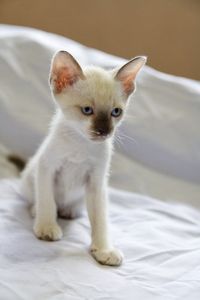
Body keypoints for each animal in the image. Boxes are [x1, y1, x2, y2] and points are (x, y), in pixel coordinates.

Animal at [20, 50, 146, 266]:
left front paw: (104, 250)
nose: (104, 132)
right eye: (87, 110)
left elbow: (100, 220)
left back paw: (69, 212)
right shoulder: (47, 168)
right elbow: (47, 200)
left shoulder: (96, 182)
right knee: (39, 199)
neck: (81, 144)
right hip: (30, 177)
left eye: (116, 112)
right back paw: (39, 212)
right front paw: (46, 227)